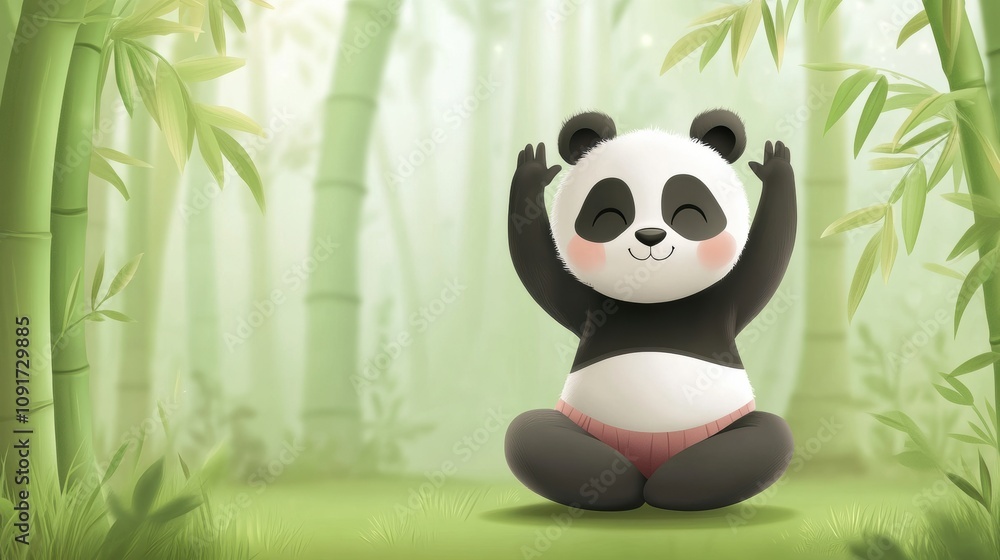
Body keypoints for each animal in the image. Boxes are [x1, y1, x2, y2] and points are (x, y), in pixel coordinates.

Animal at [505, 109, 796, 511]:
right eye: (610, 216)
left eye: (688, 213)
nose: (650, 237)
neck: (653, 299)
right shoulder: (586, 306)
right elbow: (539, 269)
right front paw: (532, 171)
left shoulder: (726, 301)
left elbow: (767, 260)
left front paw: (776, 167)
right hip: (582, 421)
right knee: (532, 433)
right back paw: (618, 484)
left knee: (769, 436)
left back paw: (675, 486)